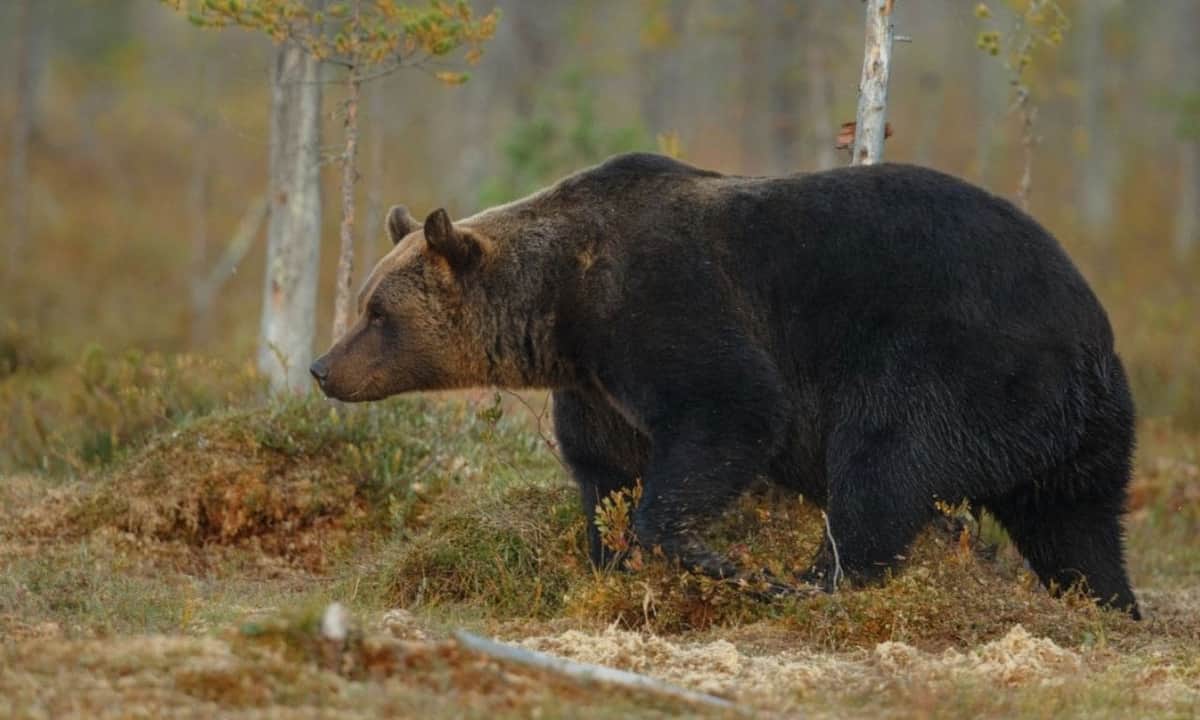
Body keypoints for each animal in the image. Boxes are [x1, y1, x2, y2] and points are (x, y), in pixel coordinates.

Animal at [310, 152, 1141, 618]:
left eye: (377, 312)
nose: (322, 368)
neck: (561, 308)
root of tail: (1090, 330)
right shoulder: (596, 388)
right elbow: (604, 474)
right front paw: (611, 563)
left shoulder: (666, 304)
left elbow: (729, 413)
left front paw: (716, 561)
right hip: (1073, 430)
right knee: (1077, 525)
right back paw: (1108, 607)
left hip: (954, 361)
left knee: (884, 468)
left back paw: (813, 583)